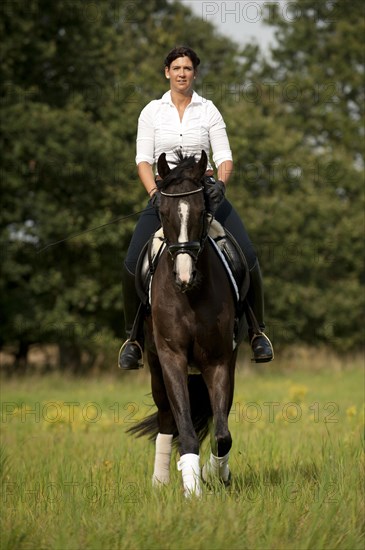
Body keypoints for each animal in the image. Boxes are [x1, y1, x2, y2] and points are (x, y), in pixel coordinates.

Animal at [129, 151, 245, 500]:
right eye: (163, 213)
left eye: (201, 211)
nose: (184, 276)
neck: (191, 296)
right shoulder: (172, 357)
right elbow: (185, 427)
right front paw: (192, 491)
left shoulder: (219, 361)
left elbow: (222, 434)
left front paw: (211, 474)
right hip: (155, 366)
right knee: (167, 417)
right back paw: (160, 480)